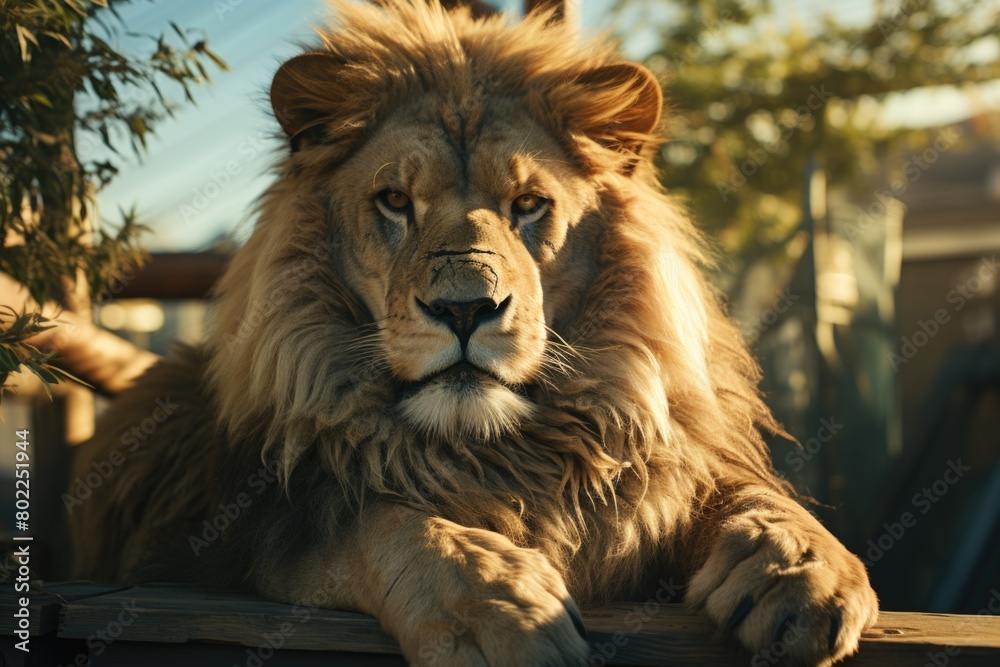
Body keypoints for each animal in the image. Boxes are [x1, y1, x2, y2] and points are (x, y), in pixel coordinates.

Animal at [68, 1, 879, 665]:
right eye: (396, 201)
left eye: (528, 204)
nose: (465, 309)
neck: (497, 449)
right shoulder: (236, 526)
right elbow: (380, 520)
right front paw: (500, 607)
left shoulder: (659, 474)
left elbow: (748, 495)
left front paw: (799, 568)